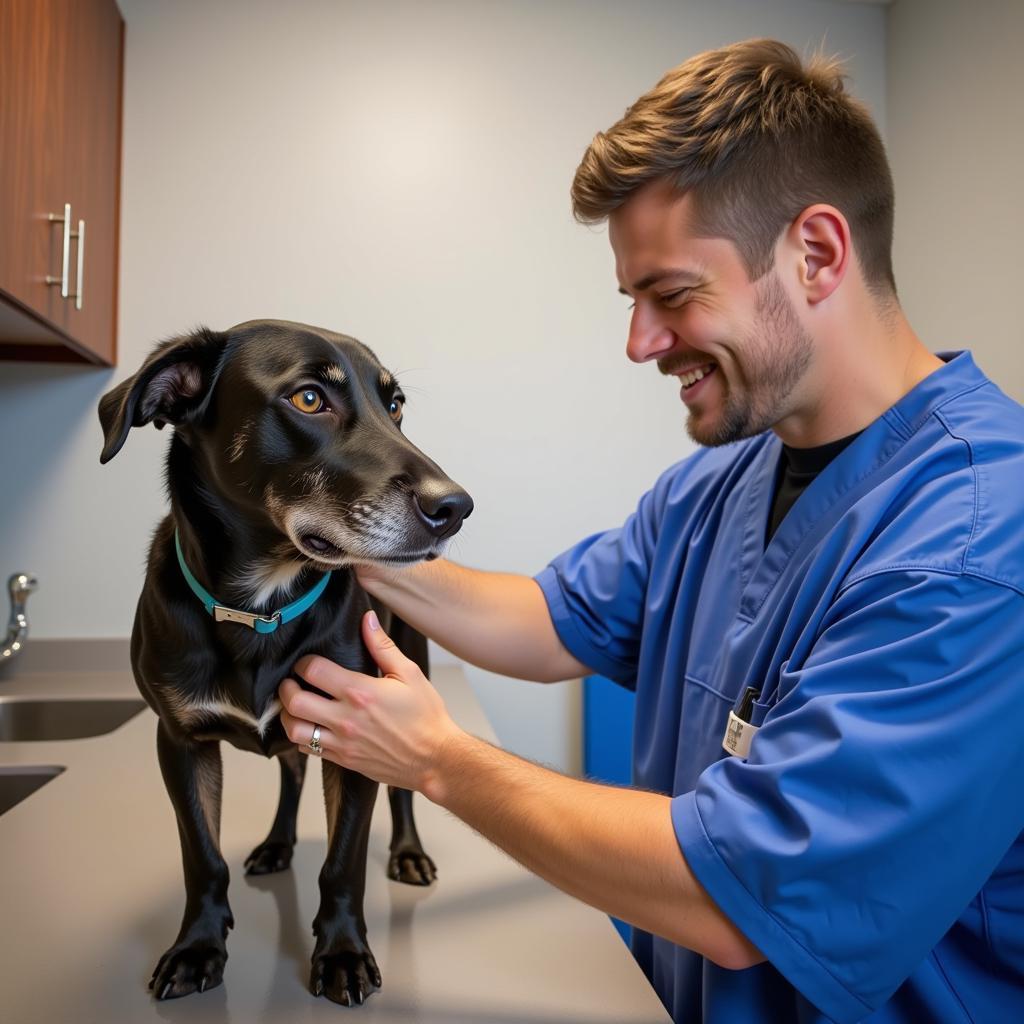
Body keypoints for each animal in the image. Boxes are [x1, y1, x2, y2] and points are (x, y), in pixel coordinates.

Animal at [97, 321, 473, 1007]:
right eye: (308, 399)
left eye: (395, 406)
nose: (456, 508)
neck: (259, 607)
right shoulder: (179, 742)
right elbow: (203, 856)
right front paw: (196, 947)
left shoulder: (362, 733)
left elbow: (343, 863)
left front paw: (344, 953)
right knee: (292, 775)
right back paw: (276, 843)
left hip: (413, 674)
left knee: (401, 793)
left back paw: (407, 853)